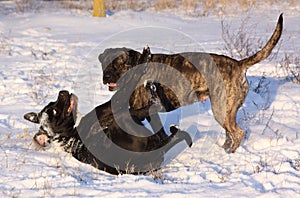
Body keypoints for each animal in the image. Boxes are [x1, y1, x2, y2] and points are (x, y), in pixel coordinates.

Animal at [24, 82, 191, 175]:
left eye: (52, 104)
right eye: (54, 112)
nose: (62, 92)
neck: (71, 133)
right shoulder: (108, 109)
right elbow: (121, 95)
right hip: (124, 120)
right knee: (148, 113)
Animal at [99, 13, 284, 153]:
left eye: (118, 64)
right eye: (104, 63)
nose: (106, 76)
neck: (138, 65)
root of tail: (239, 64)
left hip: (221, 109)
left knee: (237, 133)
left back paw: (228, 154)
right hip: (226, 111)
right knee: (229, 134)